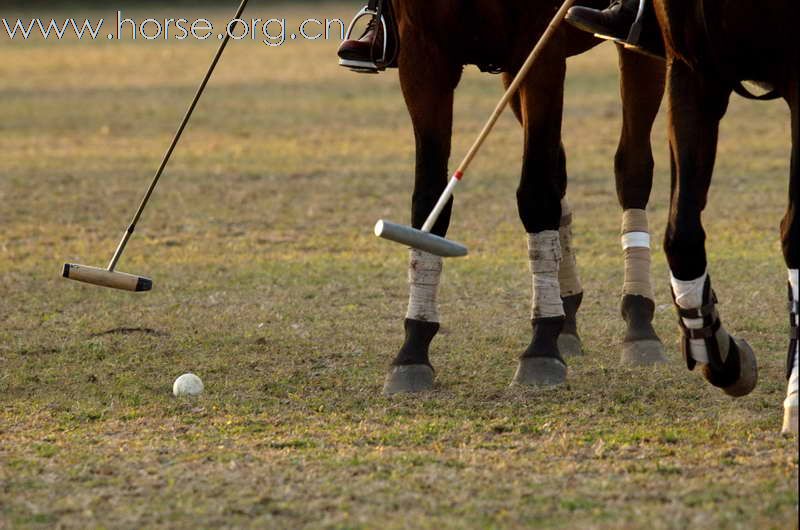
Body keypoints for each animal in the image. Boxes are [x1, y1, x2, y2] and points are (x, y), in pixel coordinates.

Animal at [382, 0, 668, 394]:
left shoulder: (541, 43)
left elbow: (535, 194)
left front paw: (541, 346)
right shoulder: (421, 52)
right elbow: (429, 197)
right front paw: (413, 348)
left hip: (635, 48)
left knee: (632, 168)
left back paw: (639, 321)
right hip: (510, 71)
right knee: (559, 172)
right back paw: (567, 314)